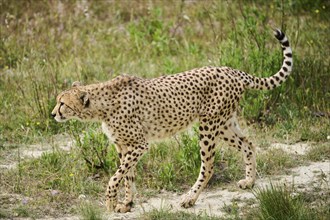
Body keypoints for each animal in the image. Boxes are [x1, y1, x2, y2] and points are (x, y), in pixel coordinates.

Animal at [51, 28, 294, 212]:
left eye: (62, 103)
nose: (53, 114)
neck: (102, 105)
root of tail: (232, 70)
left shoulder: (139, 144)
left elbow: (116, 176)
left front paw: (111, 201)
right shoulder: (123, 146)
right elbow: (127, 175)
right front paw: (127, 203)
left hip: (208, 126)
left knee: (209, 165)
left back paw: (190, 198)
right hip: (224, 123)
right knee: (248, 143)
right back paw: (249, 181)